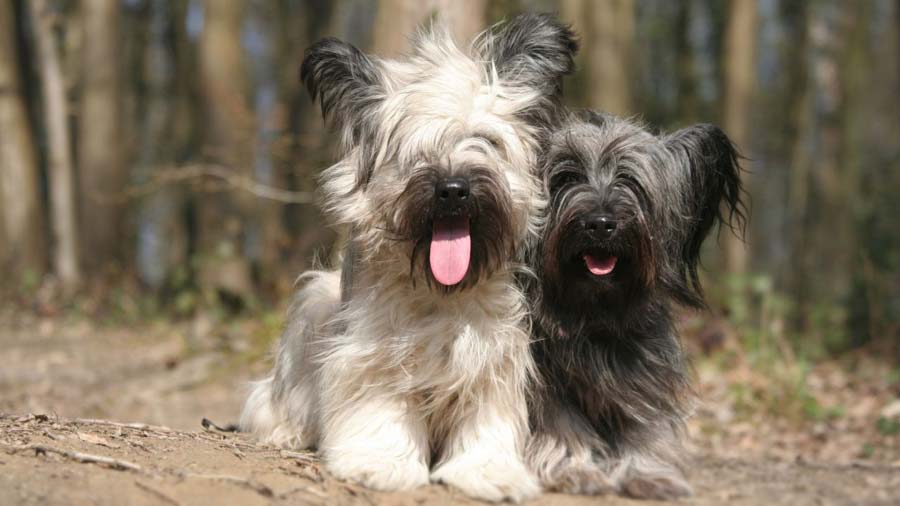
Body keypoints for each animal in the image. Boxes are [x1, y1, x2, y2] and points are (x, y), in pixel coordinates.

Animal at [239, 13, 576, 500]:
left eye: (485, 140)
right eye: (412, 151)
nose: (453, 189)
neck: (442, 294)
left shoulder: (495, 355)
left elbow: (486, 414)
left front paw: (488, 470)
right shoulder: (371, 353)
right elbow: (379, 407)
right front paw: (380, 463)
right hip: (314, 303)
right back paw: (288, 429)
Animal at [524, 109, 740, 498]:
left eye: (629, 180)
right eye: (566, 177)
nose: (600, 224)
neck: (593, 316)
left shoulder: (641, 373)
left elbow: (642, 424)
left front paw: (649, 474)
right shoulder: (545, 382)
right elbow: (561, 423)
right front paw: (576, 469)